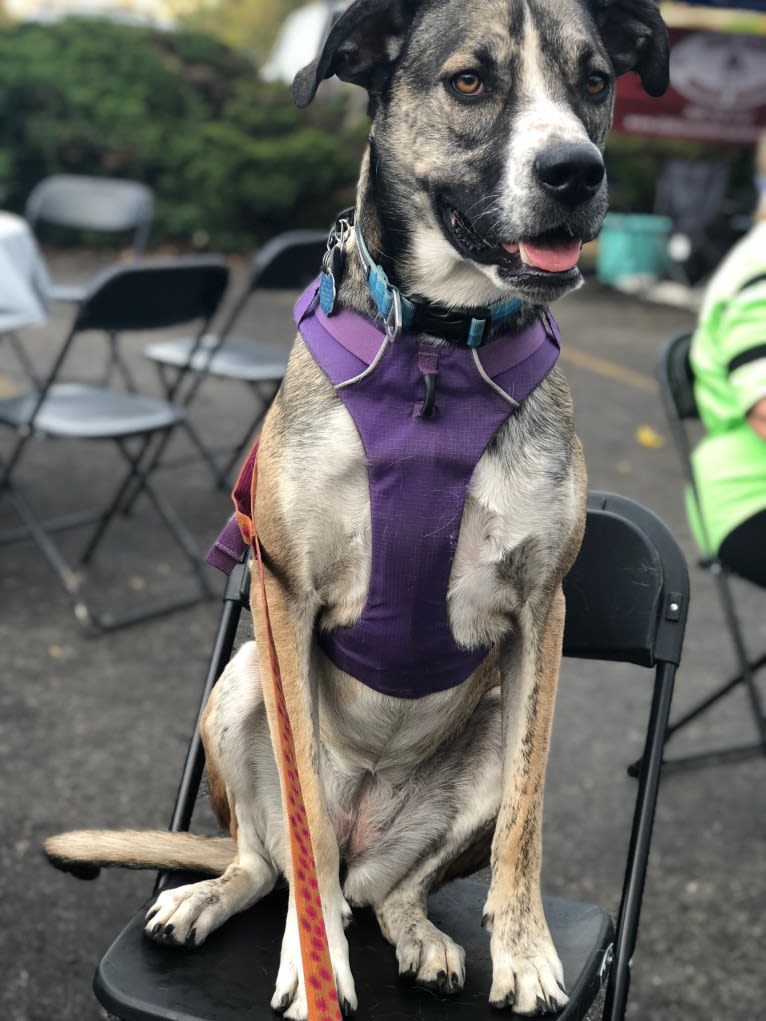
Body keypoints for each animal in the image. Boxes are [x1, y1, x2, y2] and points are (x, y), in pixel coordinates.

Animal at [44, 3, 669, 1016]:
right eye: (469, 81)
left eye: (596, 80)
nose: (576, 172)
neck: (437, 350)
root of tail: (363, 836)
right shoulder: (285, 596)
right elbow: (299, 815)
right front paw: (315, 967)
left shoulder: (545, 607)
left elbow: (525, 816)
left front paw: (526, 949)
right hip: (242, 679)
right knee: (279, 862)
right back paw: (223, 896)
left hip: (478, 734)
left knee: (390, 889)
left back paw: (417, 933)